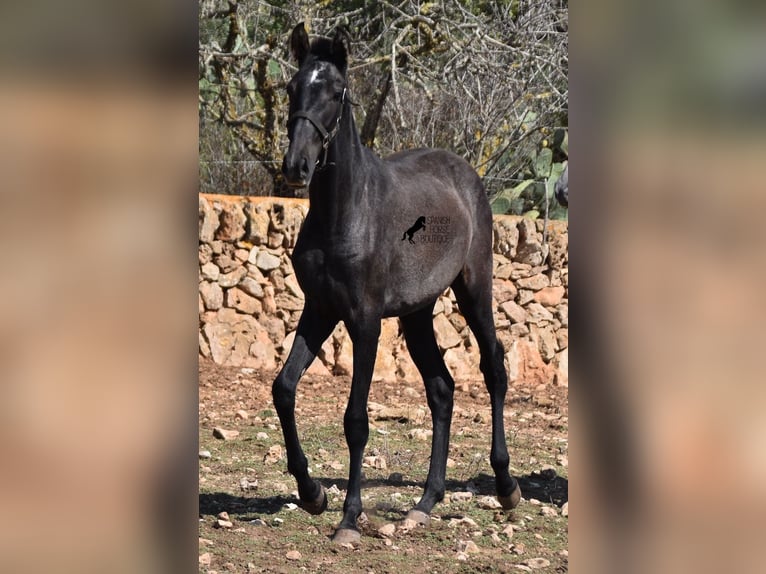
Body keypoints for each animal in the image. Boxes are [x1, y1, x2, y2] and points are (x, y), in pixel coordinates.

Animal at [272, 21, 520, 544]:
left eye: (337, 92)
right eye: (291, 87)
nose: (297, 165)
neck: (344, 212)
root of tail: (464, 172)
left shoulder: (364, 321)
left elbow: (355, 419)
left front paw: (348, 519)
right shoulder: (320, 309)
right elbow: (283, 389)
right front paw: (312, 494)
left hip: (474, 289)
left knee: (493, 367)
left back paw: (507, 486)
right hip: (417, 312)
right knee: (442, 388)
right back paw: (424, 503)